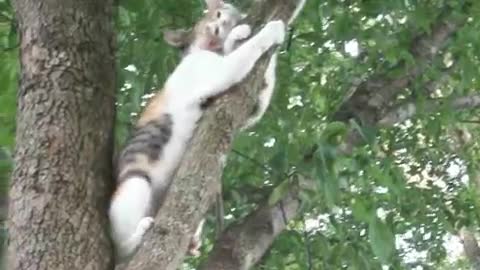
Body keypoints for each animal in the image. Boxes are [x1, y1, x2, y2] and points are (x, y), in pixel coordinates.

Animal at [107, 0, 284, 258]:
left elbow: (262, 85)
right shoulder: (215, 71)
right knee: (121, 246)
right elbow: (250, 49)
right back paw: (139, 235)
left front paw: (239, 34)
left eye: (218, 14)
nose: (215, 31)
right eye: (207, 26)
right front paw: (273, 29)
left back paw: (191, 241)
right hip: (136, 182)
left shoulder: (252, 108)